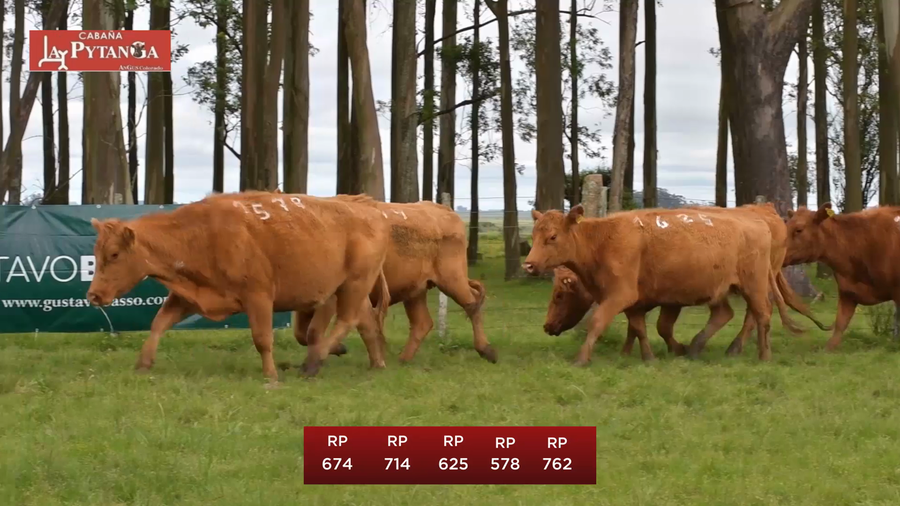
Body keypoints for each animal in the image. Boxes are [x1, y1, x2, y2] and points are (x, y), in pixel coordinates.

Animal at [85, 190, 392, 387]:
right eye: (96, 253)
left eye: (114, 254)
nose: (93, 295)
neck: (201, 235)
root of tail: (369, 208)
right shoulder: (188, 296)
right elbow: (159, 324)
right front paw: (143, 364)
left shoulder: (259, 296)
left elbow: (262, 339)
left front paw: (270, 375)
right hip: (349, 289)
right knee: (364, 322)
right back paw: (374, 363)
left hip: (355, 283)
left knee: (347, 320)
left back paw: (314, 362)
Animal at [290, 196, 496, 364]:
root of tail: (445, 211)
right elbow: (301, 333)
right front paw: (338, 348)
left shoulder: (332, 297)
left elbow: (312, 331)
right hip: (416, 291)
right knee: (422, 322)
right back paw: (403, 360)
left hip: (452, 280)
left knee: (472, 303)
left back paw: (487, 351)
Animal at [543, 203, 832, 358]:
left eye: (559, 295)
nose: (546, 326)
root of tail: (763, 212)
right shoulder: (644, 300)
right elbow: (636, 327)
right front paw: (629, 353)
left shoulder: (670, 300)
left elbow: (660, 327)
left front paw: (675, 349)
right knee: (730, 313)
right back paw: (702, 346)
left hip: (755, 283)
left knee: (756, 313)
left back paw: (733, 349)